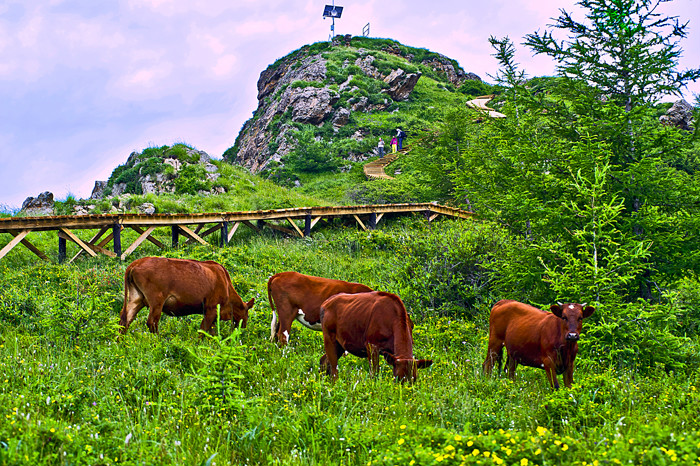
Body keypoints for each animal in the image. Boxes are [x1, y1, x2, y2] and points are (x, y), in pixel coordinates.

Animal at [119, 255, 254, 334]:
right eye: (247, 313)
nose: (244, 327)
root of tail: (137, 262)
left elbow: (211, 332)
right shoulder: (211, 309)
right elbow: (203, 330)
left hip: (136, 299)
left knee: (125, 319)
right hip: (157, 301)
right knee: (151, 322)